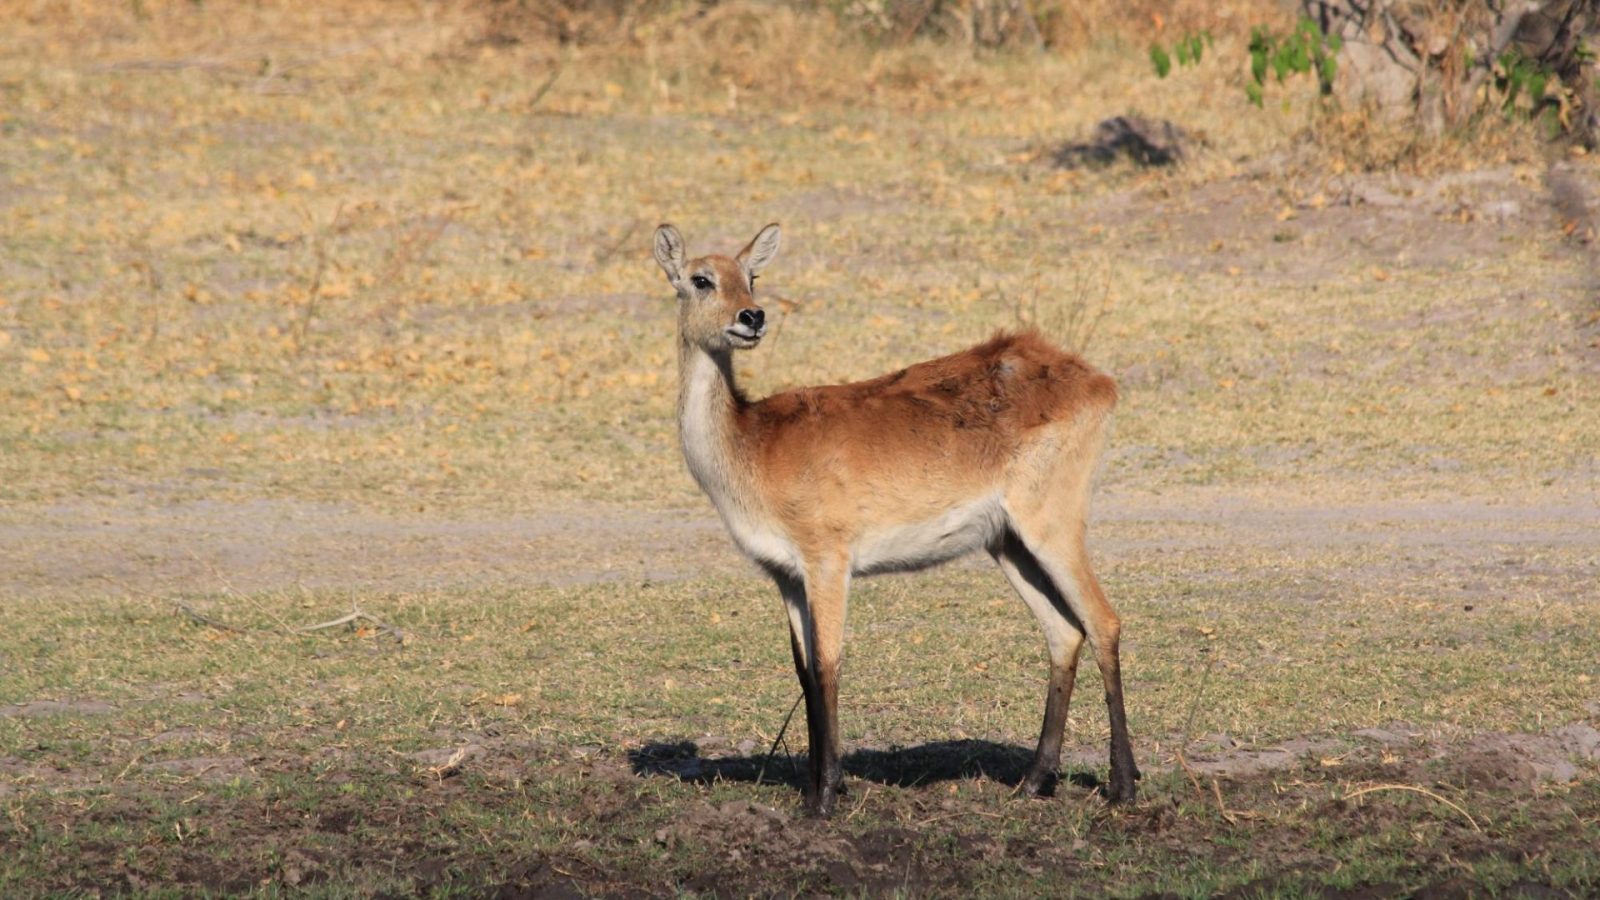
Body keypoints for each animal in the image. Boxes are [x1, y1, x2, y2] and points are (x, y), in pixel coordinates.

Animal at [653, 223, 1137, 816]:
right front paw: (814, 789)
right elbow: (804, 671)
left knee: (1103, 621)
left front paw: (825, 798)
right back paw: (1032, 782)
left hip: (1053, 524)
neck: (752, 443)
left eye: (752, 276)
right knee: (1064, 632)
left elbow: (829, 664)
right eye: (700, 279)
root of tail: (1098, 380)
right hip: (1009, 543)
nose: (752, 316)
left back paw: (1122, 787)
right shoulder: (786, 575)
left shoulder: (828, 562)